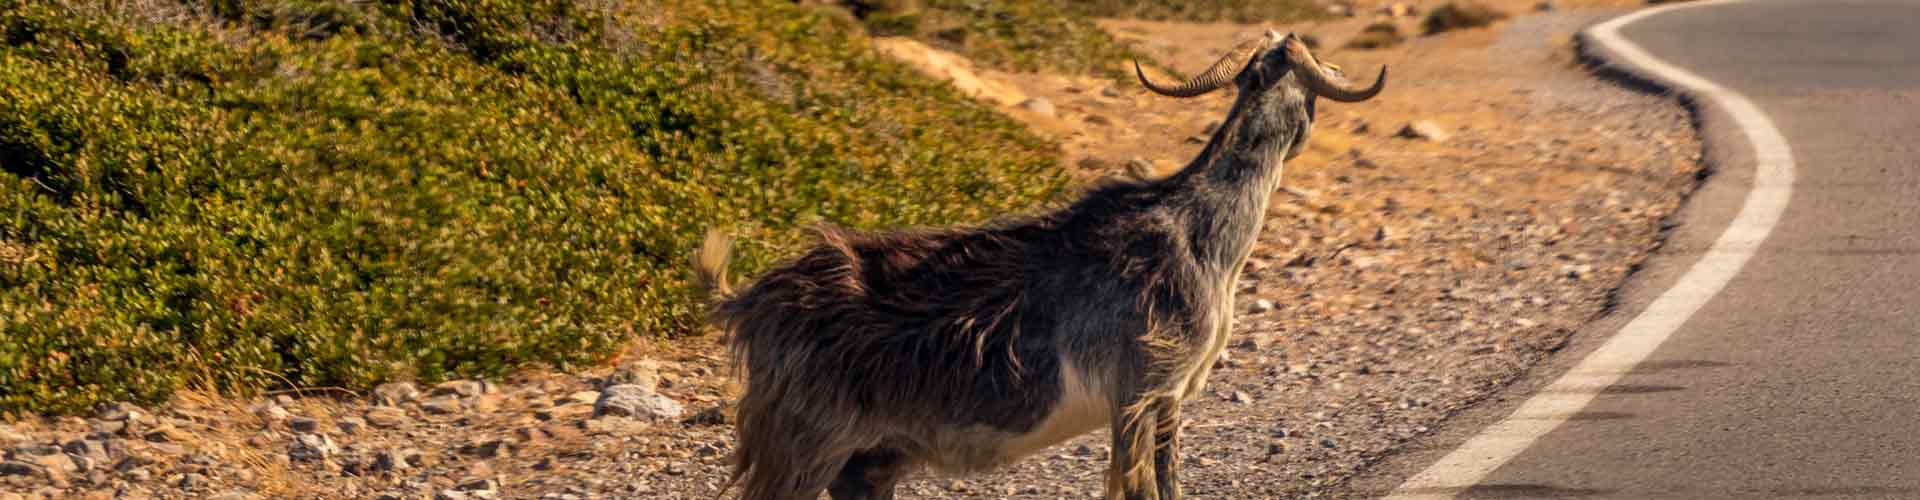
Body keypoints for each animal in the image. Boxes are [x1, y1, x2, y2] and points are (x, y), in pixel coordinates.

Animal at [698, 32, 1390, 500]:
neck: (1195, 227)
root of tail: (751, 301)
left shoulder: (1167, 397)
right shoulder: (1139, 390)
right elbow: (1140, 486)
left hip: (865, 460)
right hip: (802, 441)